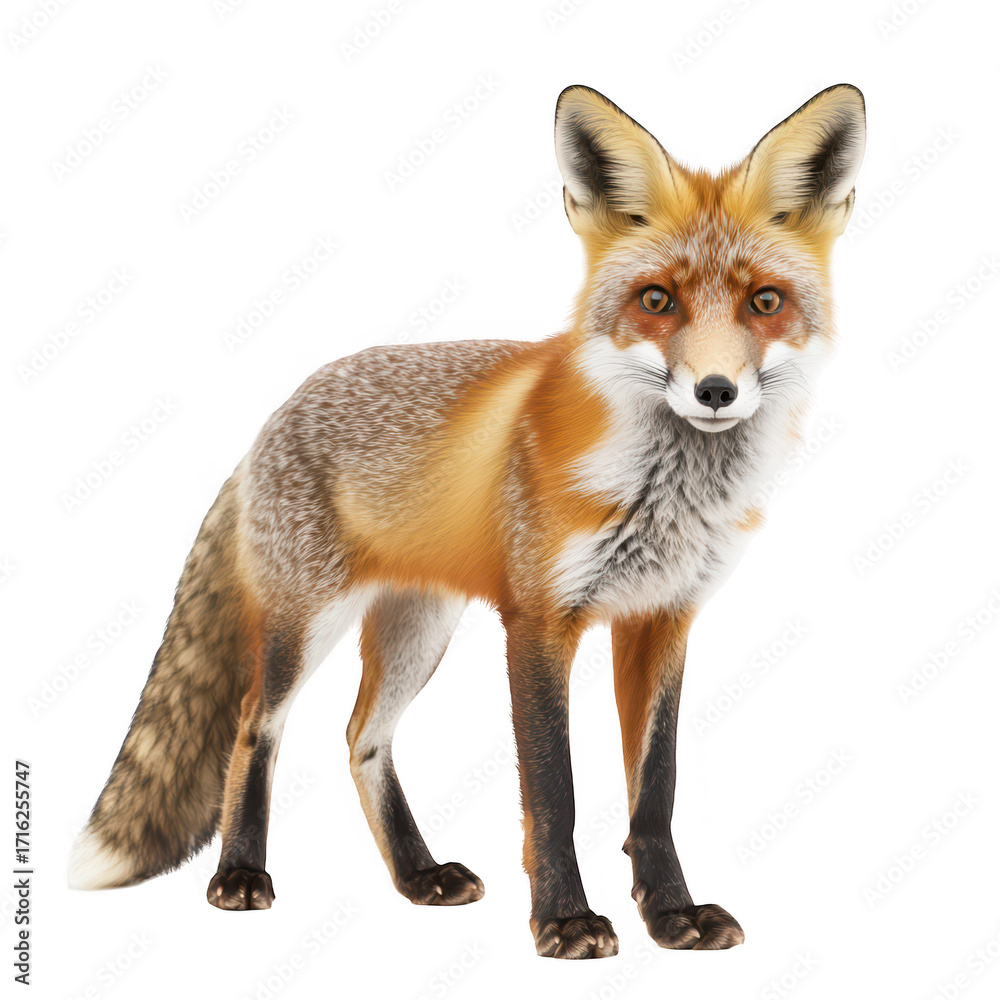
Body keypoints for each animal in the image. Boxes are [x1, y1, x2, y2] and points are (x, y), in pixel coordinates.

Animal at [69, 83, 866, 959]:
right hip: (303, 623)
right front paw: (565, 921)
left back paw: (418, 875)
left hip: (421, 630)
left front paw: (672, 916)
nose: (716, 390)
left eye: (766, 303)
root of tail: (274, 417)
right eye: (657, 301)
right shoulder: (539, 621)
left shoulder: (661, 617)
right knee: (255, 728)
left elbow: (653, 795)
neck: (666, 493)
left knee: (362, 737)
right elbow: (555, 794)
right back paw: (240, 874)